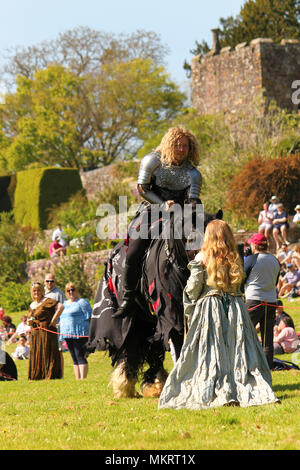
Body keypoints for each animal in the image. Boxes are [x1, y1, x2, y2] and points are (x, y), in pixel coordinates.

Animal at [86, 208, 223, 396]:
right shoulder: (171, 317)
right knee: (129, 345)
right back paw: (125, 384)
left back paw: (155, 383)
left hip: (148, 320)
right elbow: (178, 344)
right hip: (130, 320)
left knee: (152, 347)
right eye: (191, 238)